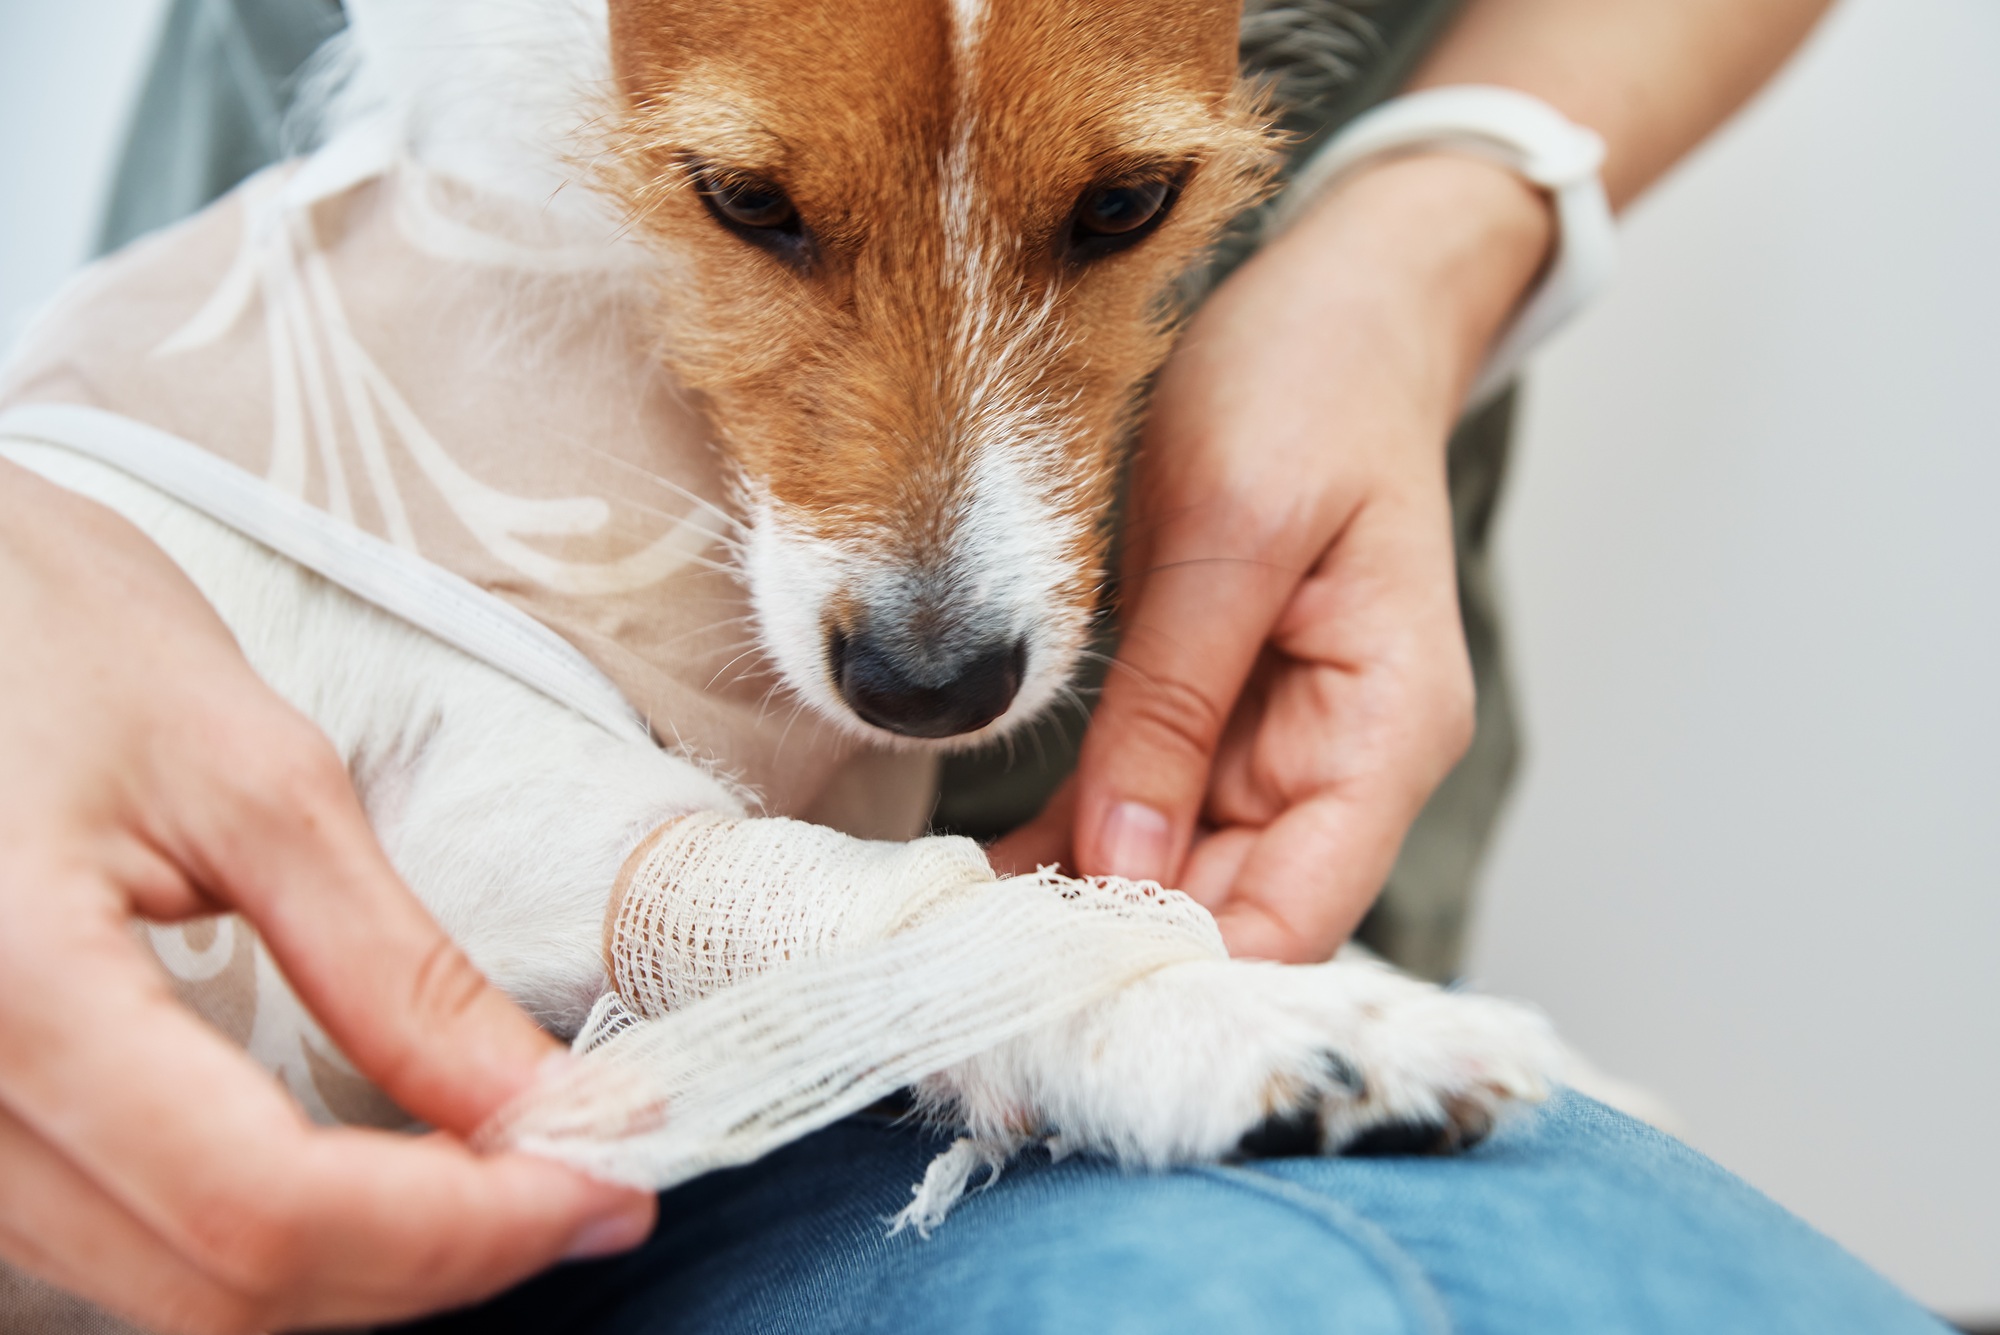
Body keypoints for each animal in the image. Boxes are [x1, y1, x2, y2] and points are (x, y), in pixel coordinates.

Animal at [0, 0, 1560, 1207]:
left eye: (1128, 204)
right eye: (745, 202)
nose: (928, 688)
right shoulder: (465, 841)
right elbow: (937, 932)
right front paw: (1220, 1012)